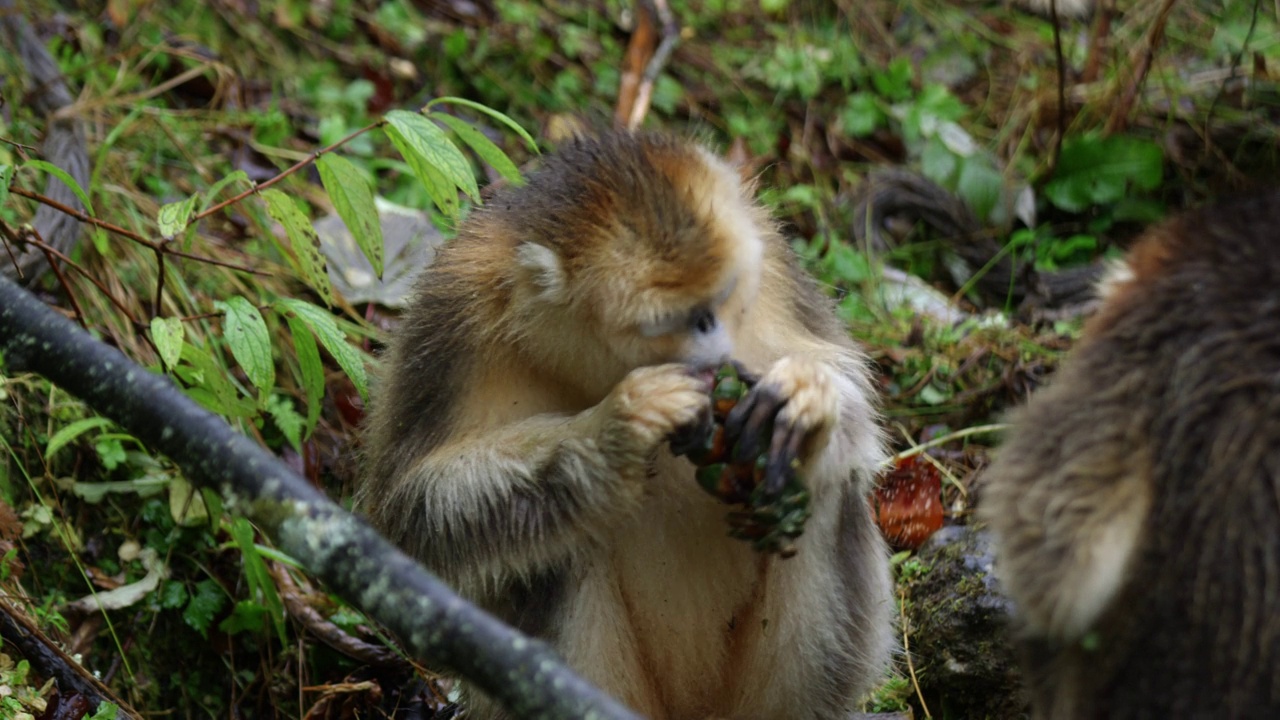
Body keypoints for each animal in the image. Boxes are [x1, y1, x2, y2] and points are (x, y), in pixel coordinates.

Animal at [355, 131, 896, 712]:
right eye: (670, 322)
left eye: (720, 299)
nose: (713, 339)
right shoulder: (456, 313)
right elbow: (413, 518)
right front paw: (614, 433)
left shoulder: (769, 258)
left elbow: (857, 417)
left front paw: (805, 400)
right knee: (548, 531)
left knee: (831, 494)